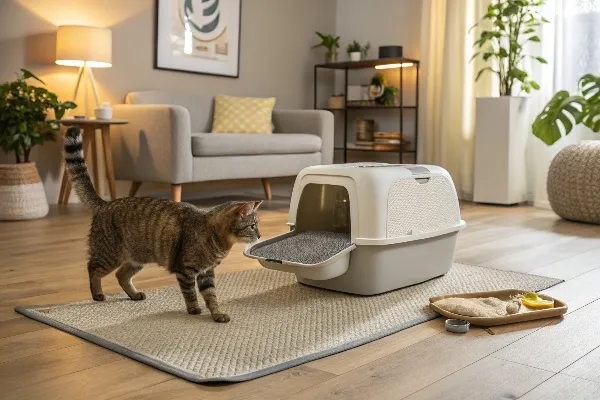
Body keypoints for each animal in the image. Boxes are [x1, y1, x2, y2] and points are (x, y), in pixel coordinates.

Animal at [62, 127, 262, 322]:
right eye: (253, 226)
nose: (260, 235)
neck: (219, 241)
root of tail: (105, 203)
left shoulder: (207, 273)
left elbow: (211, 296)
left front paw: (217, 314)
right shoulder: (185, 270)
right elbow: (190, 293)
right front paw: (194, 309)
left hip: (137, 257)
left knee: (121, 275)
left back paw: (134, 294)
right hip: (109, 254)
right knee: (93, 269)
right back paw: (97, 294)